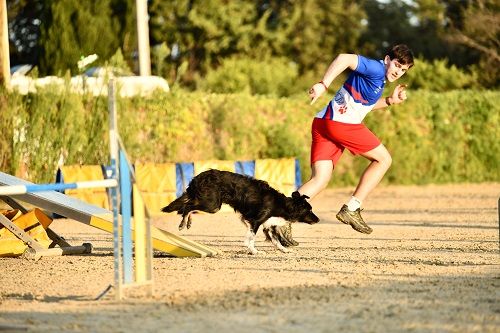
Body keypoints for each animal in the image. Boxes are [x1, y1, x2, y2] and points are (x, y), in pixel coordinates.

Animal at [164, 170, 320, 253]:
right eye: (309, 210)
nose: (318, 220)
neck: (281, 204)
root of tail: (198, 177)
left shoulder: (266, 225)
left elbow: (276, 241)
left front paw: (285, 250)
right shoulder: (255, 221)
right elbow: (251, 238)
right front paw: (254, 251)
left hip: (210, 203)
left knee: (188, 206)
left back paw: (188, 222)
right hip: (212, 205)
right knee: (187, 206)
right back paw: (182, 224)